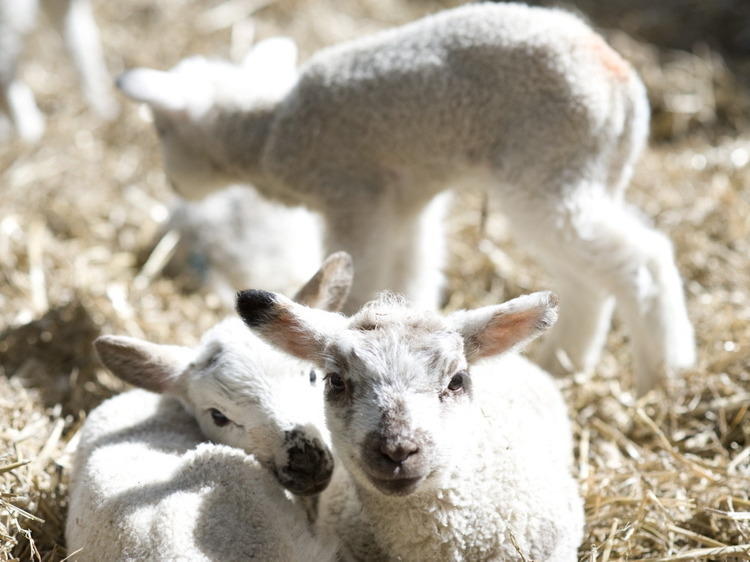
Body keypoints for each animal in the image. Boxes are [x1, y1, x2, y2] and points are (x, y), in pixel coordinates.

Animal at [117, 1, 700, 394]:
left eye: (161, 131)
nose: (173, 184)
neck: (268, 131)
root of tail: (622, 82)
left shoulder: (355, 197)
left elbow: (365, 267)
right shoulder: (408, 201)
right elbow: (414, 270)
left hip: (549, 168)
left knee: (641, 259)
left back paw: (663, 373)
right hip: (582, 173)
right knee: (587, 280)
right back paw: (566, 364)